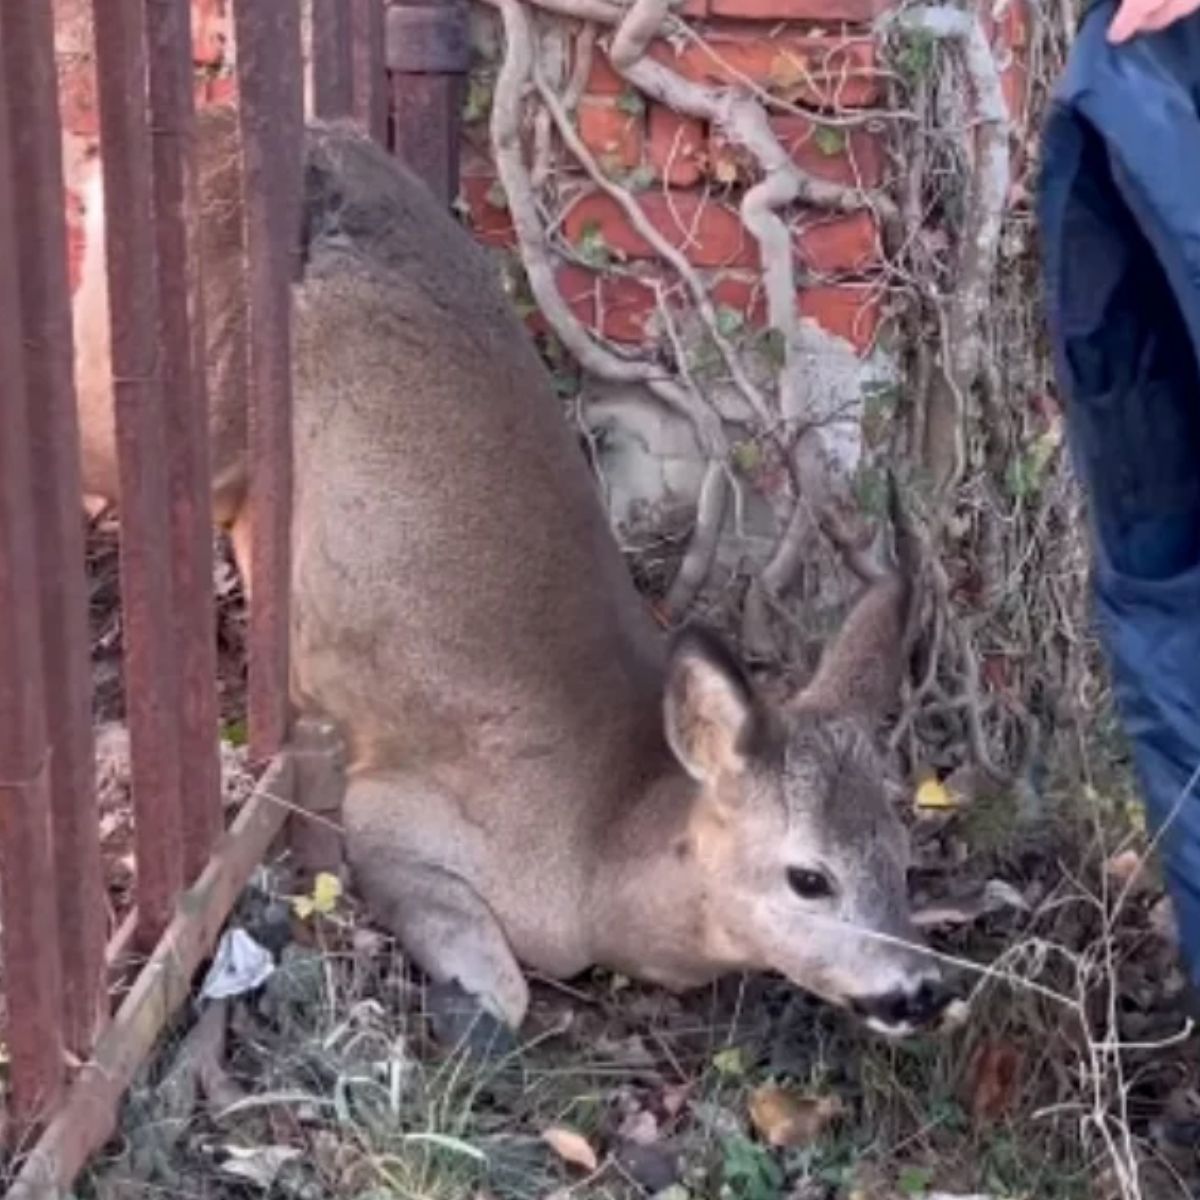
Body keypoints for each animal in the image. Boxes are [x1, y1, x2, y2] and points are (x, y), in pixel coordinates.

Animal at [72, 105, 955, 1041]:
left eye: (902, 860)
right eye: (809, 877)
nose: (922, 988)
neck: (601, 850)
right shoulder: (393, 810)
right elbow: (502, 985)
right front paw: (467, 1007)